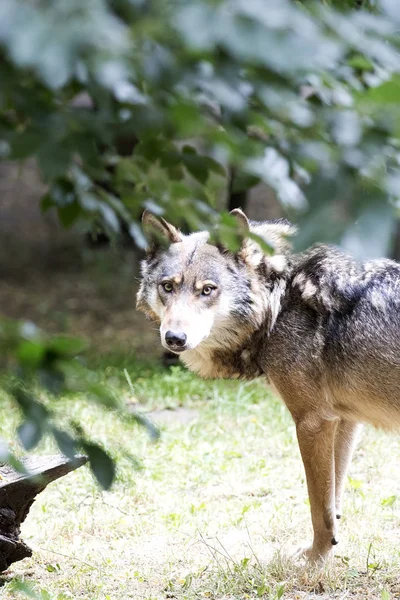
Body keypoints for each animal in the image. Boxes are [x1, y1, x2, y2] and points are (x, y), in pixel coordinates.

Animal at [137, 210, 400, 564]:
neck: (279, 297)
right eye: (167, 287)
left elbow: (319, 507)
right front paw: (328, 554)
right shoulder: (345, 420)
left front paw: (313, 562)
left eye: (207, 290)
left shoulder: (313, 421)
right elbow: (334, 500)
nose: (174, 338)